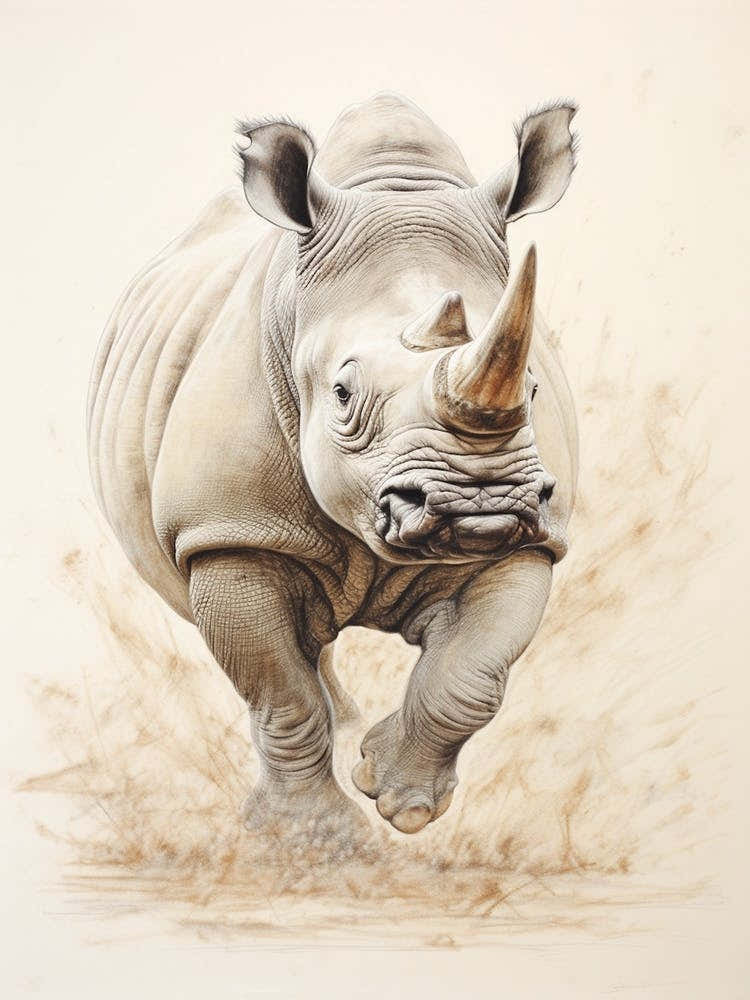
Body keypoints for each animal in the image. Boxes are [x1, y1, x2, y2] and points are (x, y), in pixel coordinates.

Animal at [87, 93, 578, 840]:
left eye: (531, 388)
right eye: (343, 393)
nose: (480, 502)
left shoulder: (533, 536)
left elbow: (471, 678)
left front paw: (401, 803)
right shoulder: (230, 531)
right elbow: (281, 694)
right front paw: (314, 841)